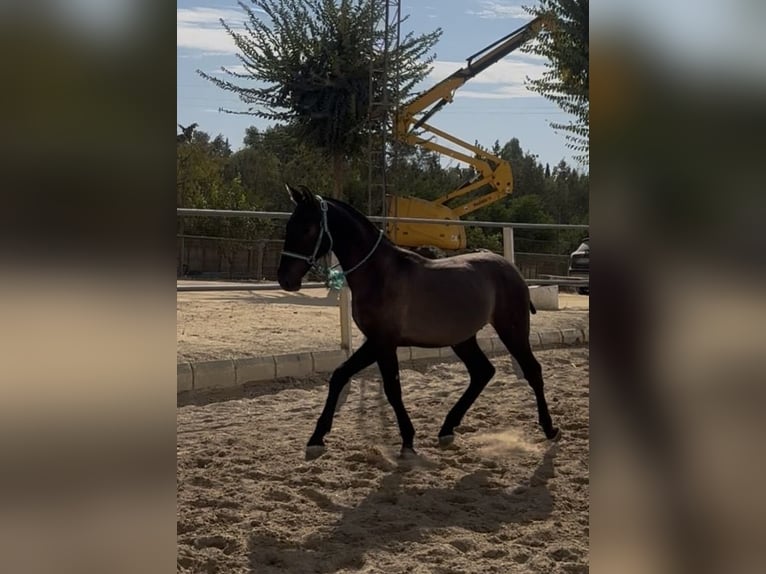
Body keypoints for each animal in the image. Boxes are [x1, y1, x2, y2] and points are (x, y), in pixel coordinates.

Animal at [277, 184, 560, 459]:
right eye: (289, 226)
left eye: (307, 228)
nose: (285, 279)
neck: (378, 273)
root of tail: (510, 268)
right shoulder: (375, 342)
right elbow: (339, 376)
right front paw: (316, 439)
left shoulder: (384, 342)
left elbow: (392, 389)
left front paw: (407, 441)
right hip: (463, 339)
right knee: (482, 372)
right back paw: (447, 428)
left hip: (512, 330)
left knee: (532, 371)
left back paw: (550, 429)